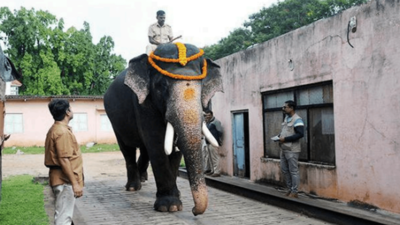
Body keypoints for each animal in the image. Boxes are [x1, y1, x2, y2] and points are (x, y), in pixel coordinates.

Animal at [104, 43, 222, 215]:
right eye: (163, 86)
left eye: (202, 87)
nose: (194, 211)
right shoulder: (143, 104)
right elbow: (158, 144)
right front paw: (169, 206)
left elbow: (174, 151)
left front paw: (176, 198)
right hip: (115, 121)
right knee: (127, 149)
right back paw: (133, 187)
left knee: (144, 150)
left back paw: (142, 178)